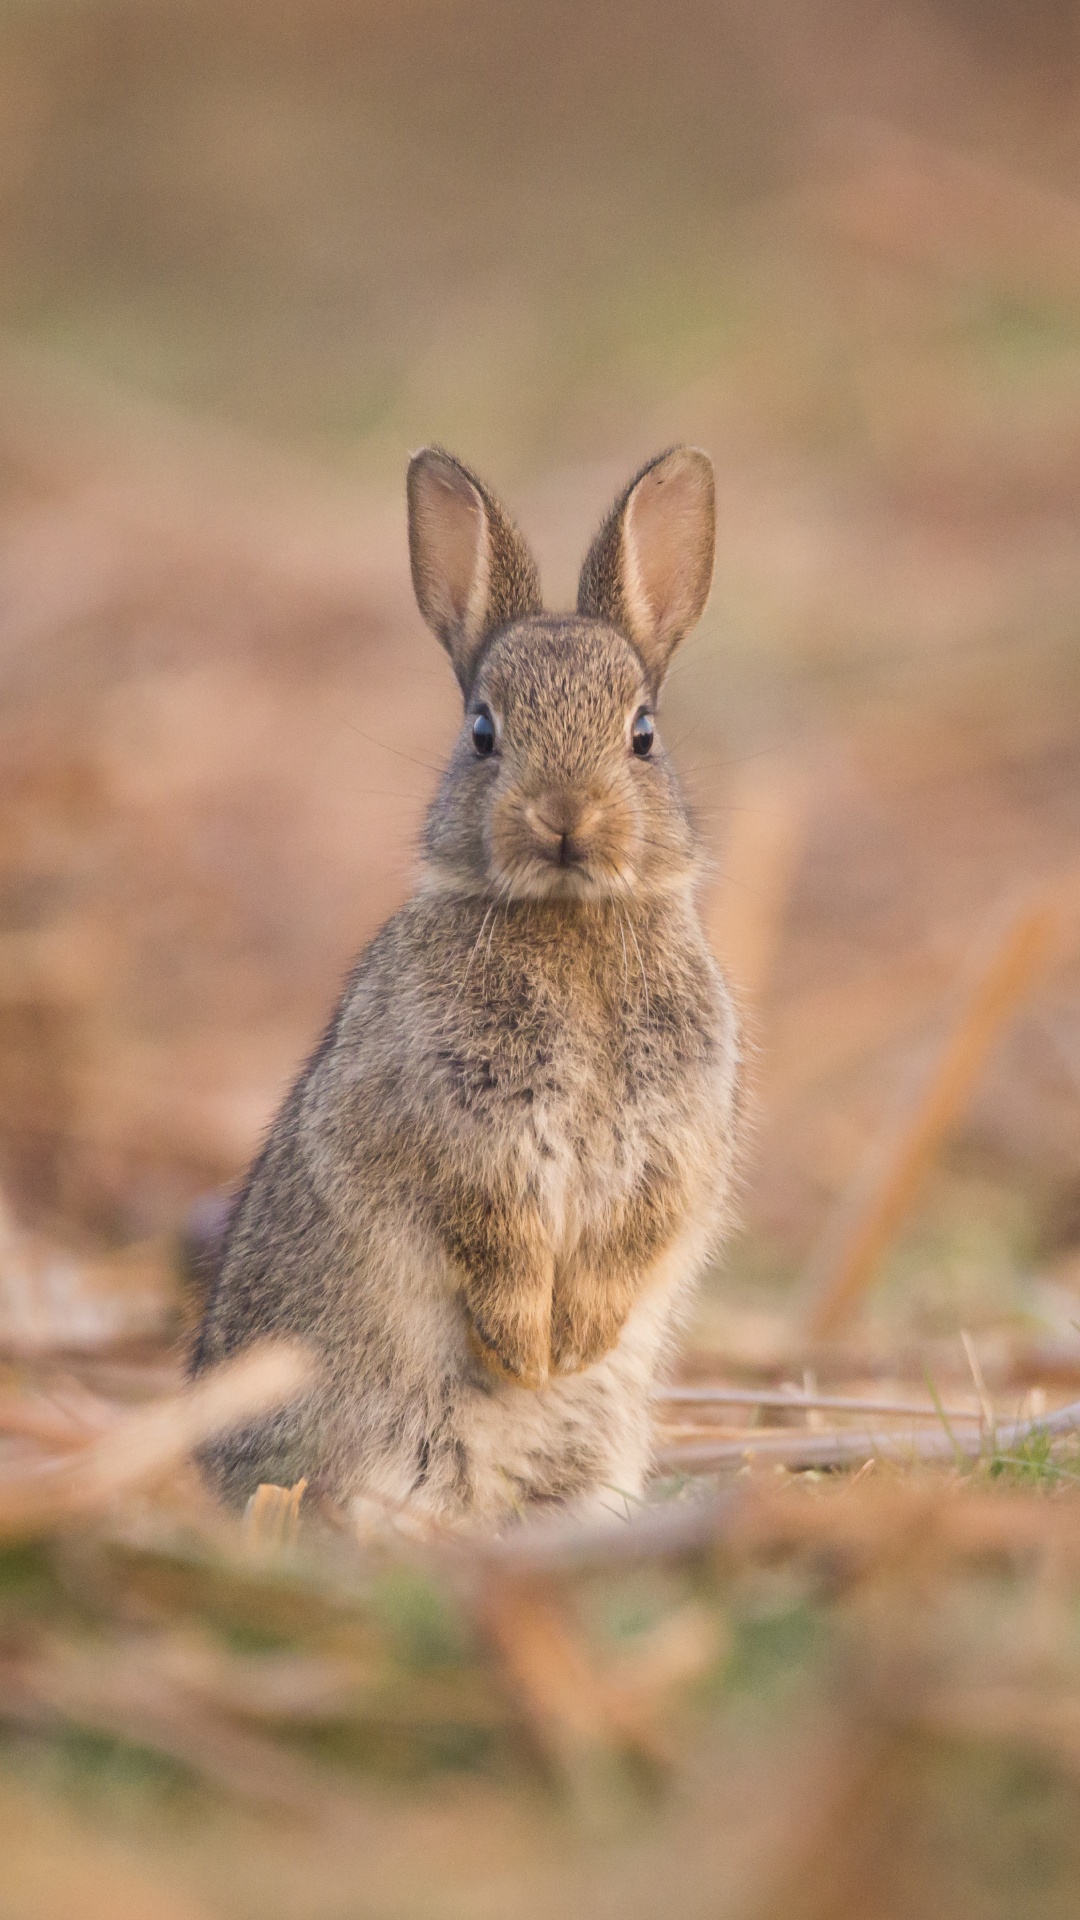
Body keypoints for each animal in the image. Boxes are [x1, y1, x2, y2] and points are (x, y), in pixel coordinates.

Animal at [191, 445, 737, 1528]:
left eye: (643, 734)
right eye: (484, 731)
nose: (565, 817)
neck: (568, 915)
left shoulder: (673, 1138)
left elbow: (635, 1233)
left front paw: (575, 1344)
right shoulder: (459, 1131)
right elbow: (494, 1236)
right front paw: (528, 1352)